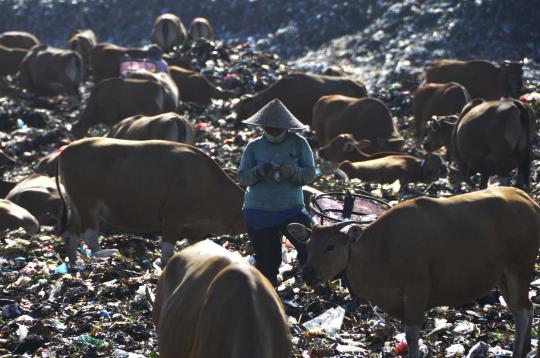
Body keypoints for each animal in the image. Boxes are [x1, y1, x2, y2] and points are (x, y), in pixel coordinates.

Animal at [54, 138, 245, 264]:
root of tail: (66, 151)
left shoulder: (197, 228)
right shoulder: (173, 217)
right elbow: (167, 248)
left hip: (75, 205)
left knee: (71, 235)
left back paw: (75, 264)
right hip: (87, 204)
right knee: (89, 236)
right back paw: (105, 255)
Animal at [288, 187, 540, 358]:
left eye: (330, 246)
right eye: (309, 245)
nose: (307, 273)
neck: (380, 249)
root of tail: (527, 199)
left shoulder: (417, 291)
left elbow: (411, 336)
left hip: (520, 268)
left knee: (523, 312)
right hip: (503, 276)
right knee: (523, 308)